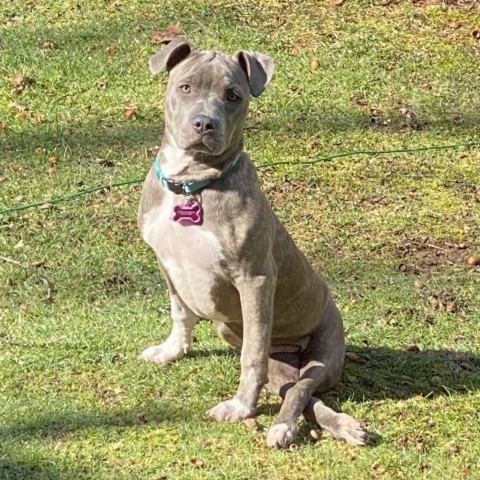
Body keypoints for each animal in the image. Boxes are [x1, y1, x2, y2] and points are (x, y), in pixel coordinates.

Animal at [137, 39, 366, 448]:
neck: (193, 183)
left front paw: (242, 407)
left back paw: (284, 427)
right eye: (185, 87)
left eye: (233, 96)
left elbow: (252, 356)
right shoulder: (166, 263)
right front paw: (171, 351)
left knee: (302, 387)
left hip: (323, 350)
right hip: (252, 346)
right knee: (298, 392)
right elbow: (181, 314)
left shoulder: (254, 279)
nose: (204, 123)